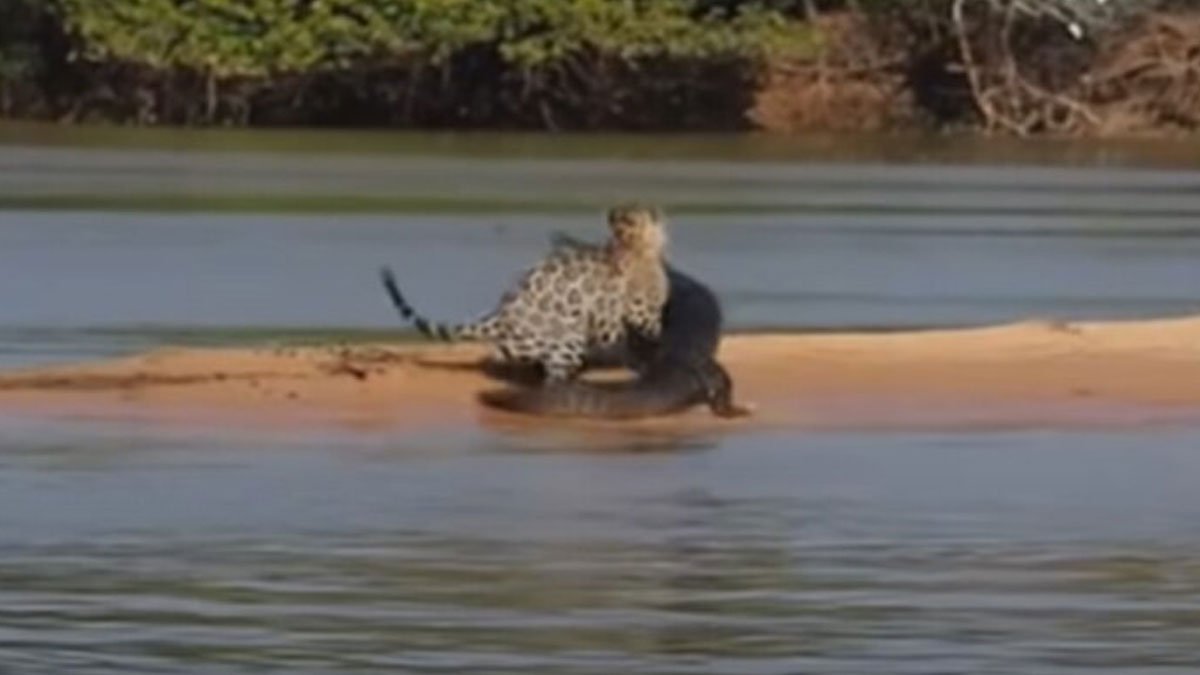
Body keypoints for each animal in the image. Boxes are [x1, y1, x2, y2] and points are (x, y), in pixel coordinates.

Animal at [379, 203, 670, 382]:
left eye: (628, 219)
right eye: (620, 220)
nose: (616, 221)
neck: (637, 246)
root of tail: (500, 314)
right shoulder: (636, 314)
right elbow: (646, 336)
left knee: (507, 357)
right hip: (568, 340)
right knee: (552, 376)